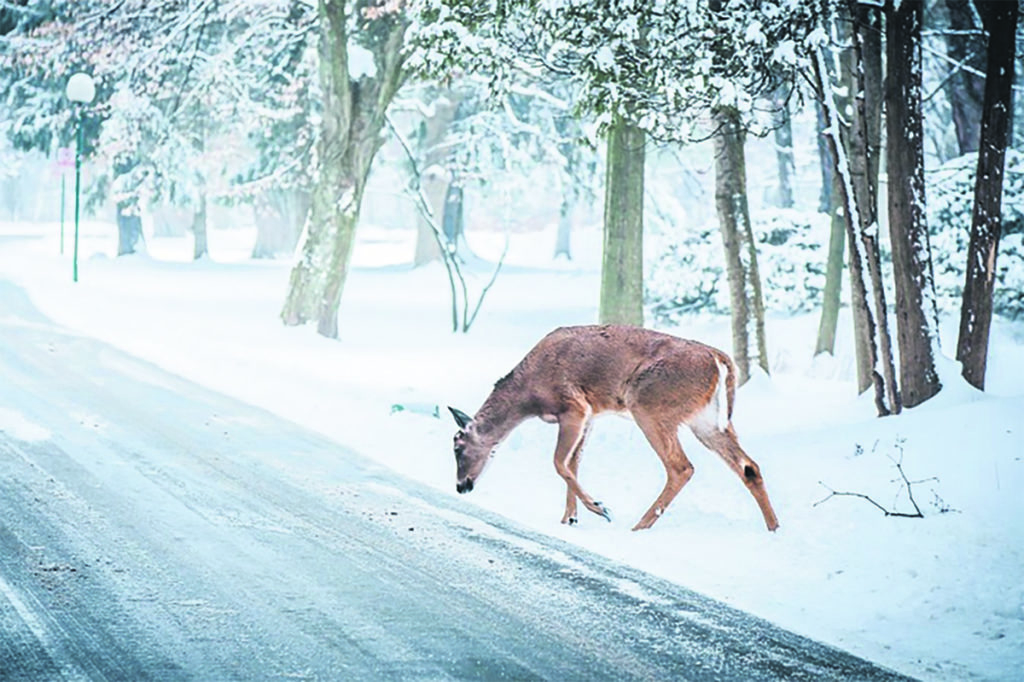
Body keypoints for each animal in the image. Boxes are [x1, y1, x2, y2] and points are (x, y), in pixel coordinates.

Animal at [446, 323, 774, 532]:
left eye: (458, 447)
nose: (461, 486)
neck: (529, 396)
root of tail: (720, 360)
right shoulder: (591, 414)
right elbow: (573, 464)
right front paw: (570, 518)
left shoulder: (574, 406)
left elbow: (559, 463)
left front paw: (598, 507)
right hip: (706, 420)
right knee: (749, 467)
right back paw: (773, 528)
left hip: (649, 405)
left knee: (681, 467)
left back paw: (639, 525)